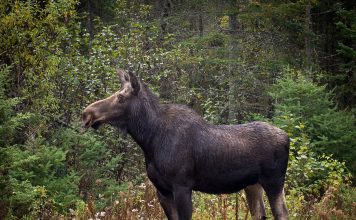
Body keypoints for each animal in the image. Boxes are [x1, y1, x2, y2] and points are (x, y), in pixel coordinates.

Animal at [82, 69, 290, 219]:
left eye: (121, 97)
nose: (87, 113)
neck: (149, 139)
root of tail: (287, 137)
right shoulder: (162, 190)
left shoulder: (182, 186)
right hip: (252, 185)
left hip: (274, 181)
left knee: (282, 214)